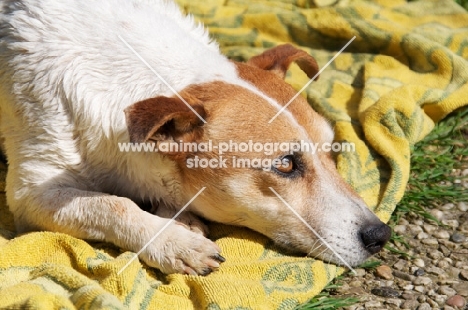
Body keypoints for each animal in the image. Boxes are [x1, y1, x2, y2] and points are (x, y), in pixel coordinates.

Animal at [0, 0, 392, 276]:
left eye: (331, 151)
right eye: (285, 165)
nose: (380, 235)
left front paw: (179, 218)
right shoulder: (30, 194)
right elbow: (112, 204)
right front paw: (175, 242)